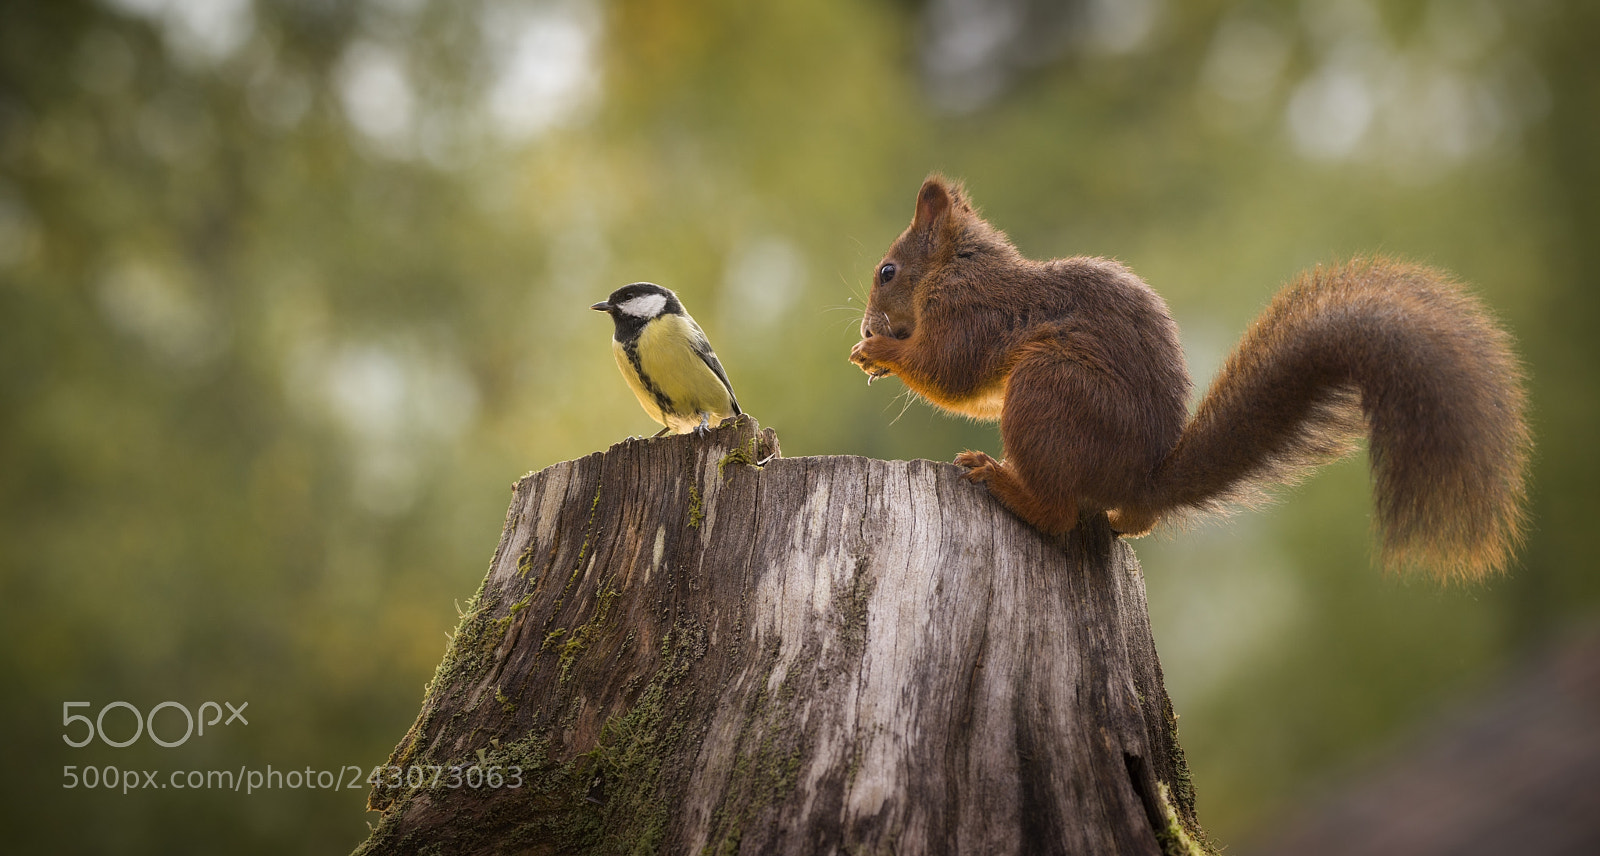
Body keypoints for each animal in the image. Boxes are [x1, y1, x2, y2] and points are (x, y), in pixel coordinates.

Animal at [849, 176, 1531, 582]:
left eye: (886, 271)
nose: (866, 321)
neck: (956, 268)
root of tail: (1141, 482)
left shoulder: (974, 315)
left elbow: (949, 371)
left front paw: (879, 349)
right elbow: (975, 391)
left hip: (1051, 391)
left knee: (1058, 513)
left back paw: (999, 478)